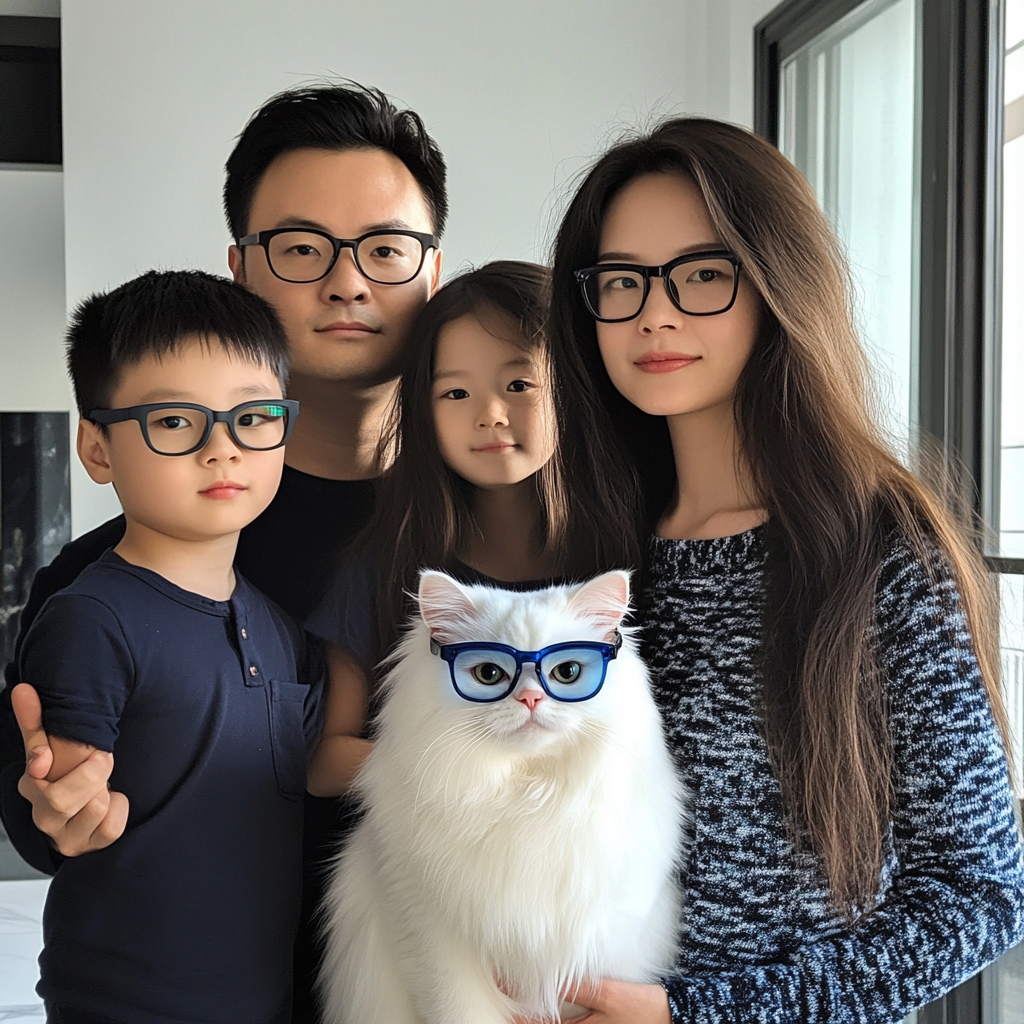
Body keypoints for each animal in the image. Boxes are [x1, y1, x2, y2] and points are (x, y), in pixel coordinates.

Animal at [319, 569, 688, 1024]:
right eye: (489, 675)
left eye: (567, 672)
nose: (530, 698)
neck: (525, 797)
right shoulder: (432, 939)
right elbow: (459, 1012)